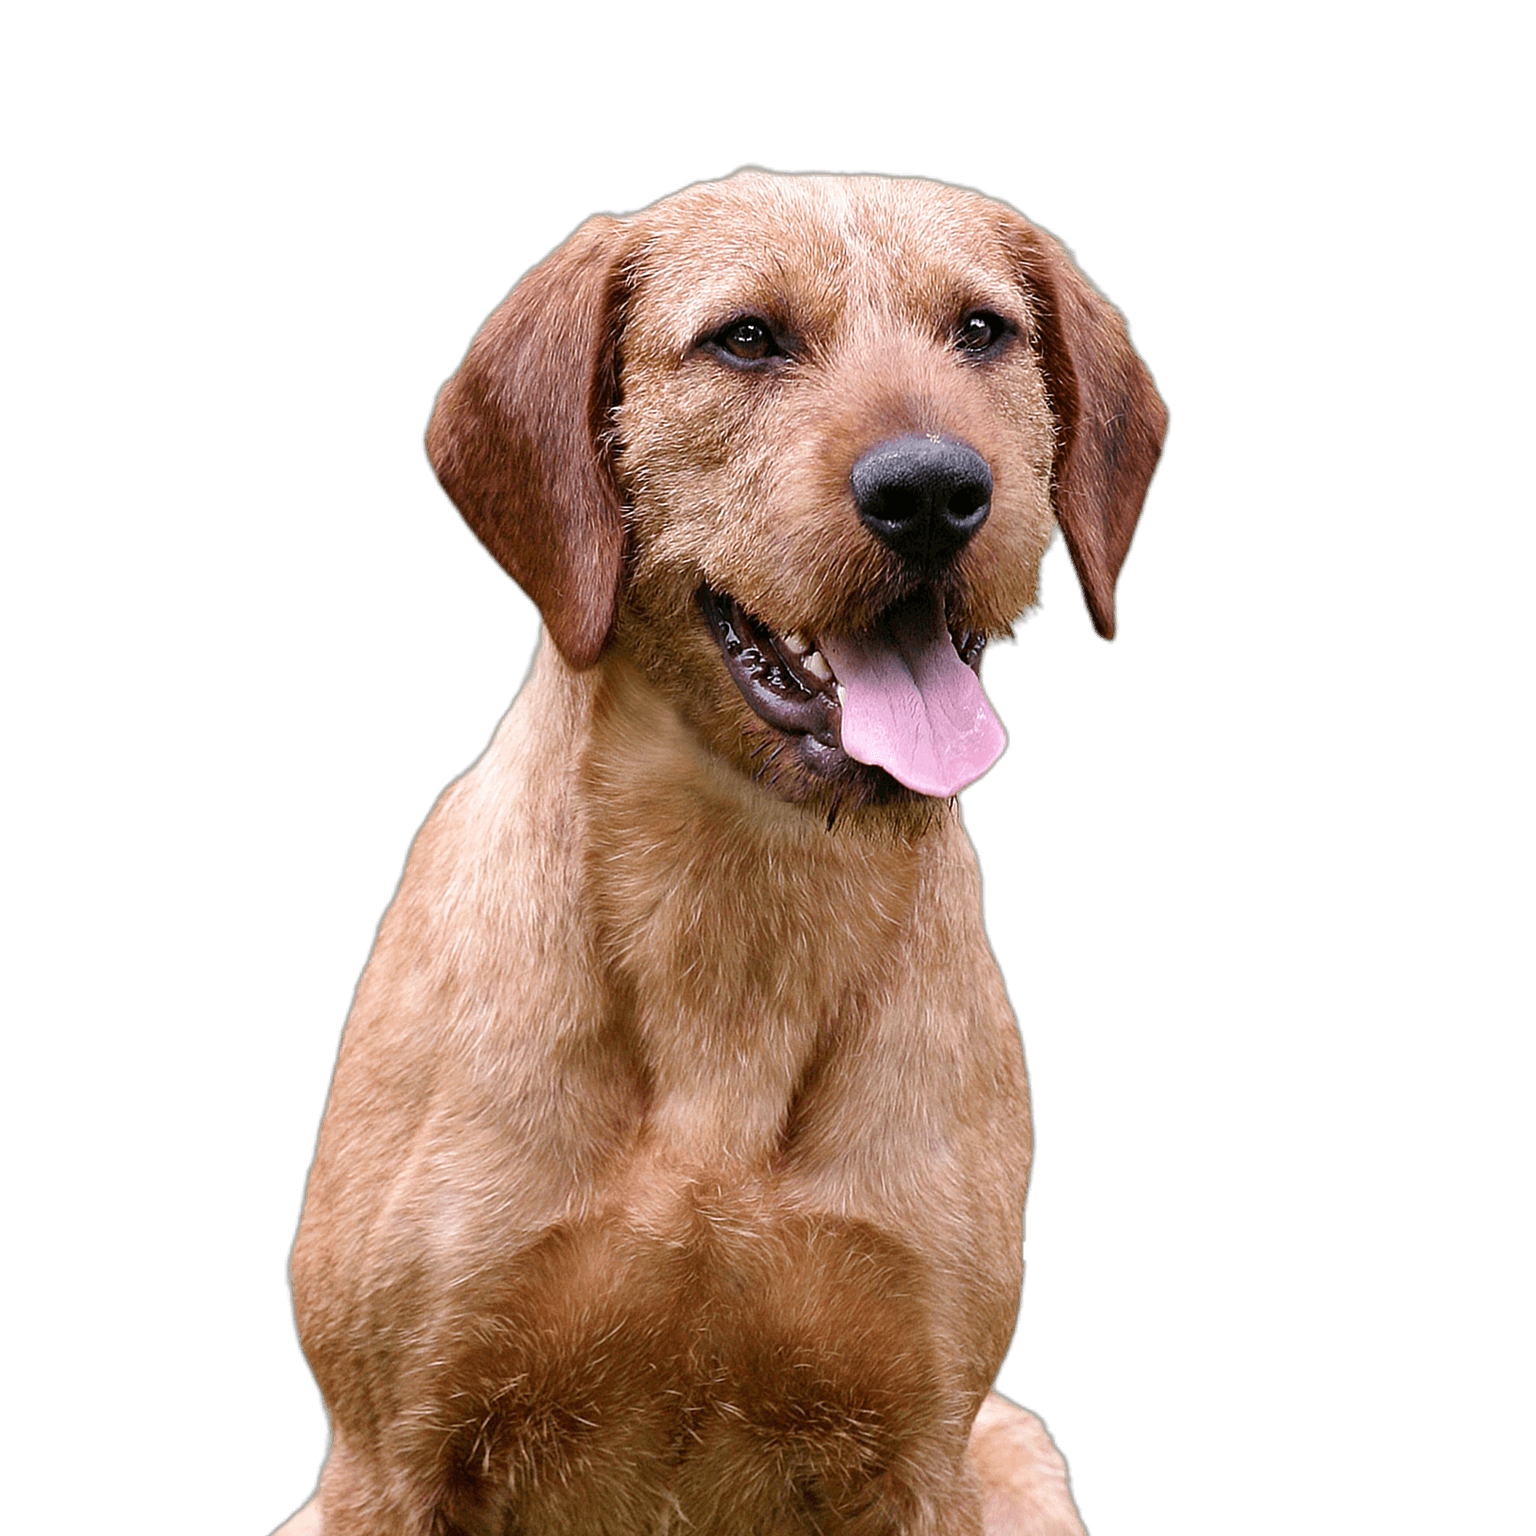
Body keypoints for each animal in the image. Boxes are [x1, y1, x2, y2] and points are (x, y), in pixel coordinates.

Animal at [276, 168, 1161, 1536]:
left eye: (981, 331)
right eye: (746, 338)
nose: (932, 491)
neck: (739, 901)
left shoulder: (927, 1443)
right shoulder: (387, 1452)